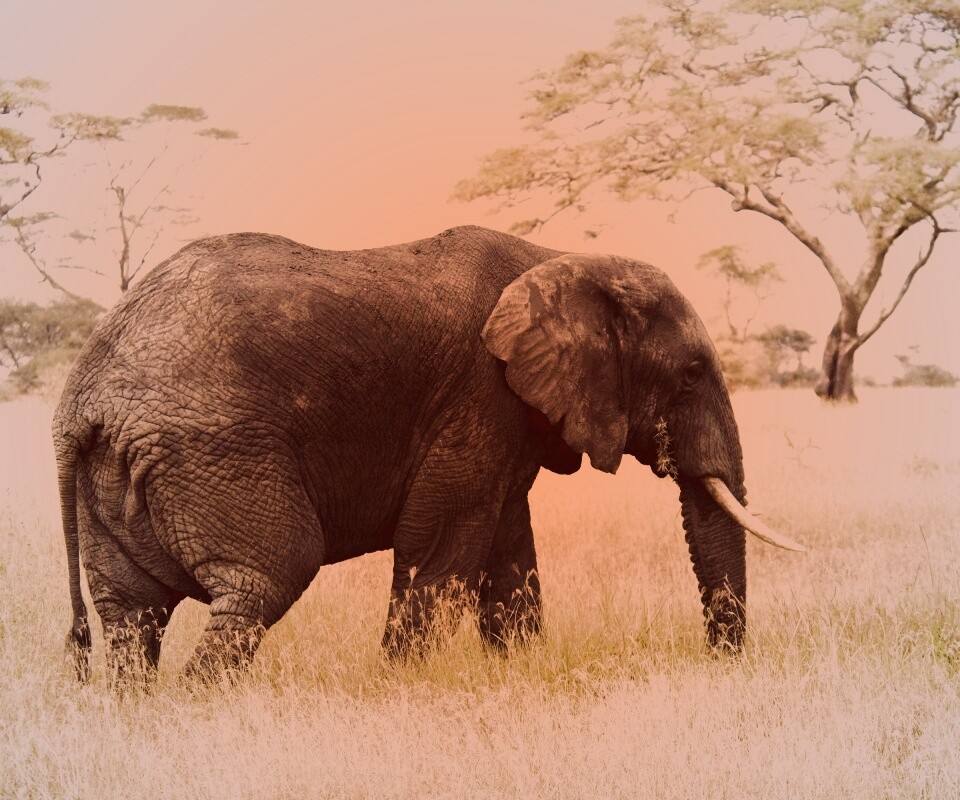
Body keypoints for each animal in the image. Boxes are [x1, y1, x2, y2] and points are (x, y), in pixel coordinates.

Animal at [54, 225, 803, 681]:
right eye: (691, 373)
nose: (720, 664)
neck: (559, 259)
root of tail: (80, 397)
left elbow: (507, 548)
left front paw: (517, 673)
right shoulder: (478, 394)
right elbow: (441, 541)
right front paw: (400, 685)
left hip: (120, 471)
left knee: (131, 614)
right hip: (212, 449)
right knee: (266, 576)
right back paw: (202, 707)